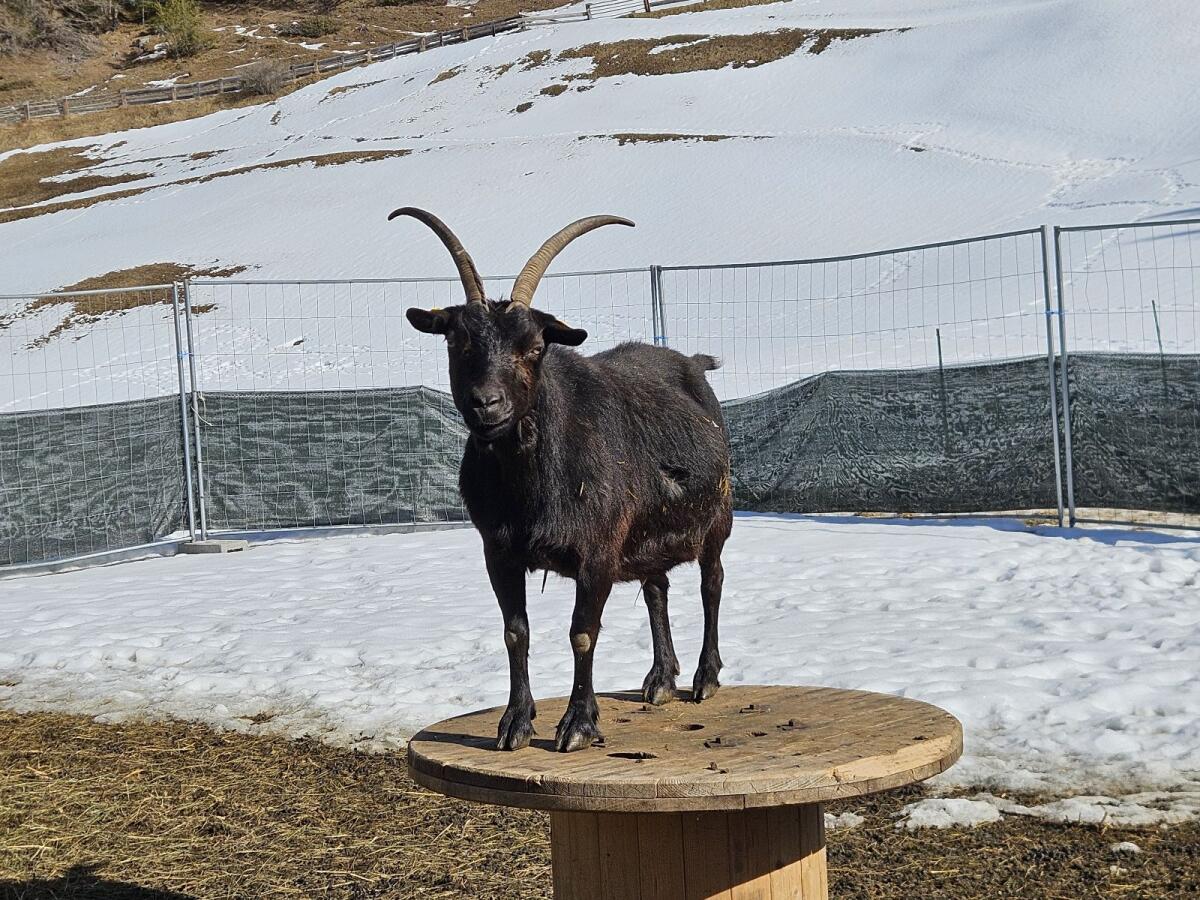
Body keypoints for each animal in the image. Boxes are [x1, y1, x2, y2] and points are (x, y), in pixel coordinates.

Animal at [396, 208, 733, 752]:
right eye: (456, 340)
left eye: (535, 347)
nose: (486, 405)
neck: (530, 489)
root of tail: (694, 365)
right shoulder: (499, 552)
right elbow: (516, 632)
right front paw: (514, 723)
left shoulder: (598, 553)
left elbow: (582, 633)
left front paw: (576, 725)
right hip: (645, 532)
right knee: (657, 587)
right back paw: (661, 679)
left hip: (716, 519)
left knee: (711, 583)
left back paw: (705, 678)